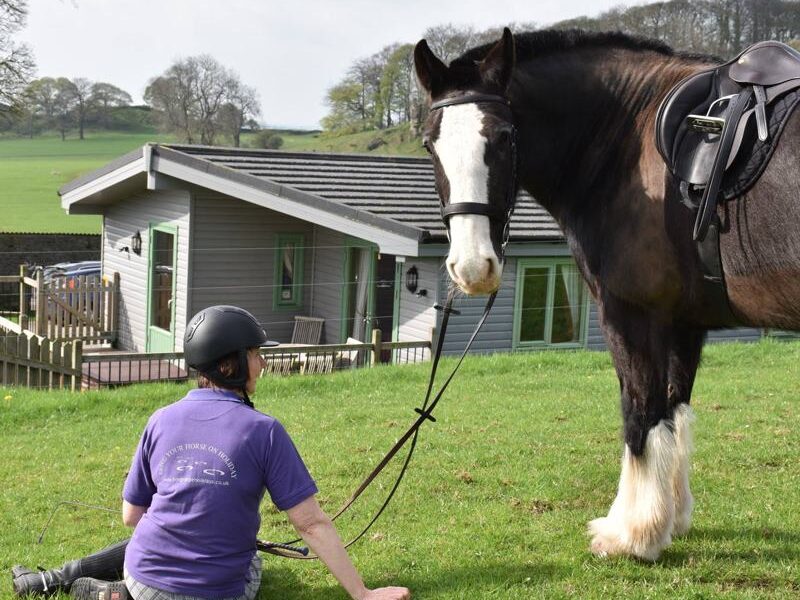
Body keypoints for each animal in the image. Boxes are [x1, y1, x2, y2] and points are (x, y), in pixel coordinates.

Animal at [414, 28, 800, 561]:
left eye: (505, 137)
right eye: (429, 145)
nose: (472, 267)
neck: (631, 135)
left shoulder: (630, 313)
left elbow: (640, 416)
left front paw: (632, 534)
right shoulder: (684, 322)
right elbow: (674, 413)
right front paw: (671, 519)